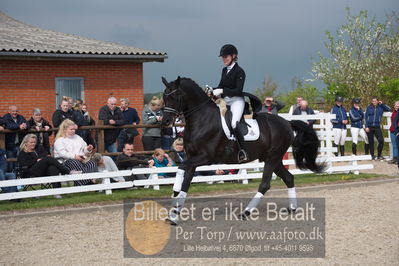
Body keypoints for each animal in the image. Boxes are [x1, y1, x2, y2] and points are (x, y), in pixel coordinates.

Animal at [162, 77, 324, 224]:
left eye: (175, 97)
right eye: (164, 96)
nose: (165, 121)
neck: (202, 120)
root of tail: (287, 122)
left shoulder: (205, 158)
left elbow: (181, 169)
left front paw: (175, 195)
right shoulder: (192, 158)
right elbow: (185, 182)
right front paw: (174, 212)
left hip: (273, 158)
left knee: (265, 184)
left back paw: (246, 212)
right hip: (273, 158)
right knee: (289, 178)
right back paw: (292, 208)